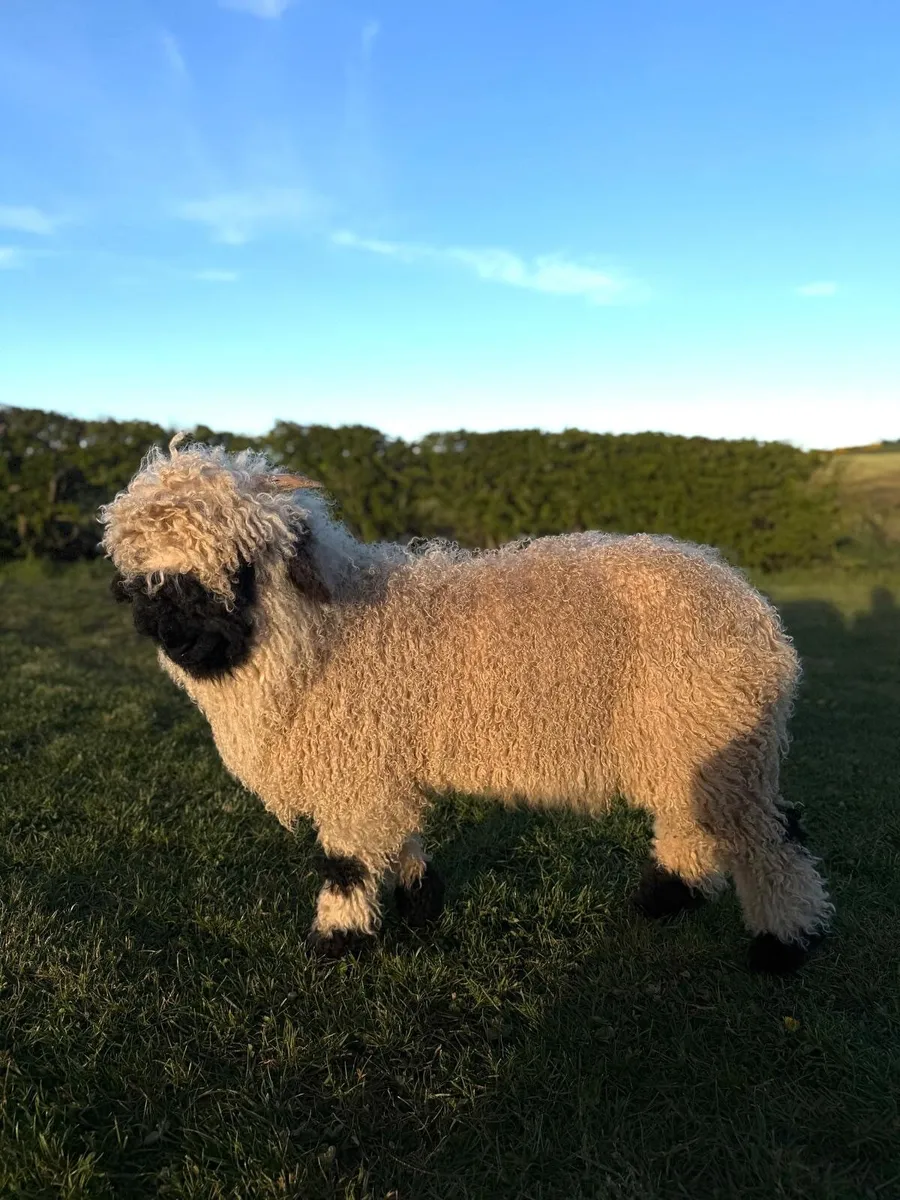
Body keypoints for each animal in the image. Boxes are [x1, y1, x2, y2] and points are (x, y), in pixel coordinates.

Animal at [100, 437, 832, 973]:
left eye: (241, 565)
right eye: (145, 581)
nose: (182, 641)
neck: (323, 638)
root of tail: (748, 603)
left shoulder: (354, 766)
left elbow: (346, 862)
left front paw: (337, 942)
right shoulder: (378, 759)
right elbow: (397, 836)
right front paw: (420, 899)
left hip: (715, 726)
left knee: (768, 835)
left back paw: (784, 944)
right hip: (684, 735)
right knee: (690, 819)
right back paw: (664, 897)